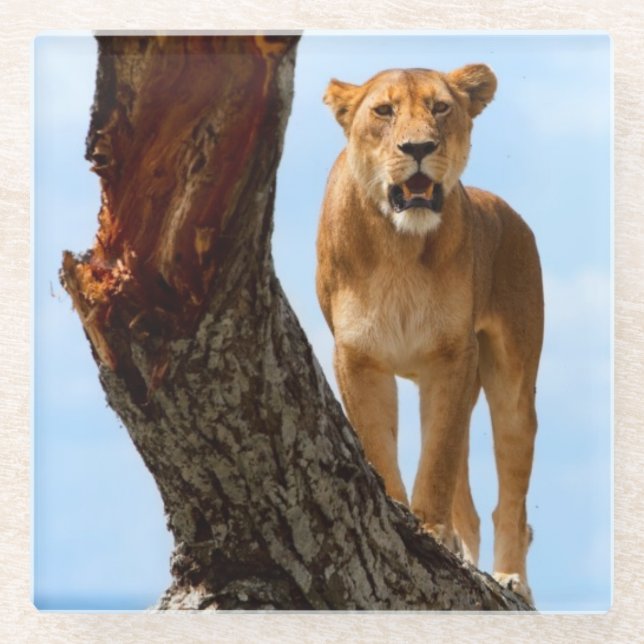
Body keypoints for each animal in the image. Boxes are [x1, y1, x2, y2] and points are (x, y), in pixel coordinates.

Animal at [315, 64, 544, 605]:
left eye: (441, 107)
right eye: (384, 110)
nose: (418, 147)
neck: (400, 246)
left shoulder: (452, 357)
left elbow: (436, 461)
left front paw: (430, 531)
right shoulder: (358, 358)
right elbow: (380, 446)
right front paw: (400, 515)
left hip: (510, 383)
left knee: (511, 503)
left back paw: (510, 580)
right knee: (473, 510)